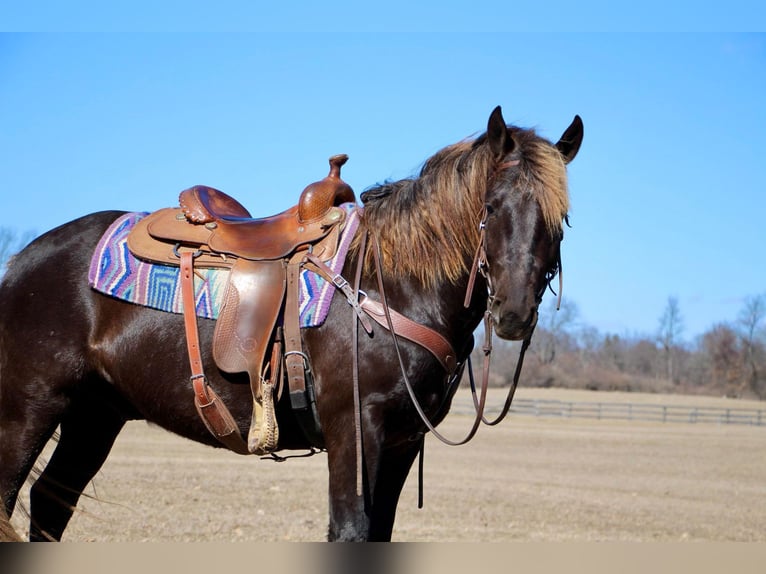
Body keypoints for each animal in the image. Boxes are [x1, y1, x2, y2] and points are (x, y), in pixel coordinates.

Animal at [0, 106, 584, 544]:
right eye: (492, 206)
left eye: (561, 218)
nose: (513, 313)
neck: (392, 286)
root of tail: (21, 260)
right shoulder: (357, 429)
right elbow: (349, 531)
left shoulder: (402, 441)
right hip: (30, 407)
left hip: (96, 414)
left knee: (50, 503)